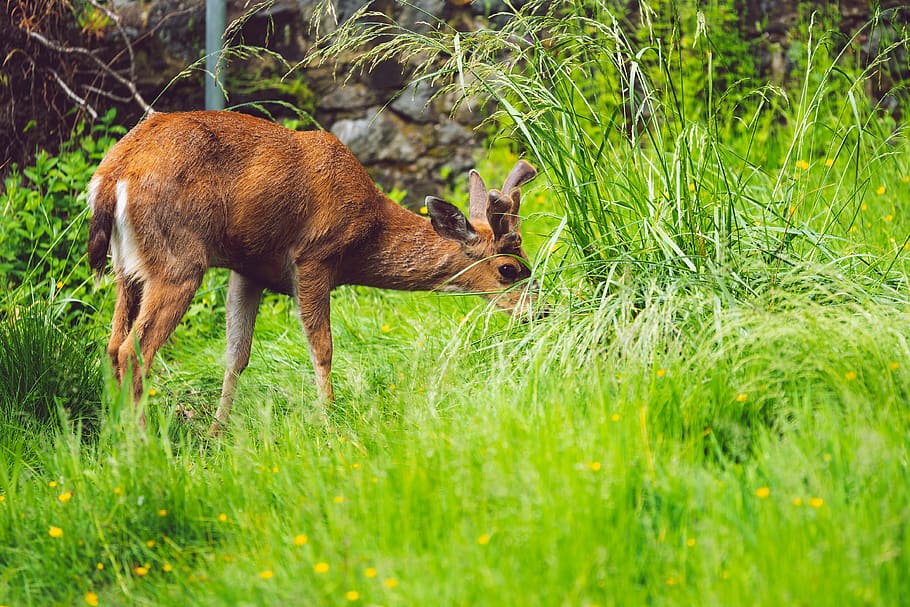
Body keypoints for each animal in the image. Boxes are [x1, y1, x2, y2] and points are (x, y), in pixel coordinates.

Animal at [87, 109, 540, 432]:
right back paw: (142, 440)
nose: (540, 311)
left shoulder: (249, 269)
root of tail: (112, 176)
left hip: (128, 268)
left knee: (112, 344)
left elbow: (236, 356)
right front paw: (329, 421)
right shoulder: (314, 256)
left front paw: (218, 433)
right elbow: (322, 349)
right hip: (179, 260)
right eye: (508, 269)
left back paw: (115, 432)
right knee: (133, 350)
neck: (368, 231)